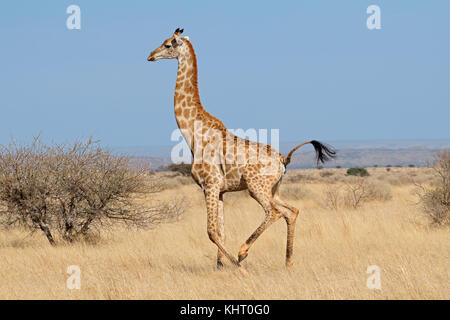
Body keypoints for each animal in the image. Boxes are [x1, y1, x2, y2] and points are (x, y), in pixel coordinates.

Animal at [148, 28, 334, 268]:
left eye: (168, 44)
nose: (150, 55)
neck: (194, 134)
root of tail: (283, 160)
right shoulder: (219, 190)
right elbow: (221, 231)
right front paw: (220, 267)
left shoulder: (210, 185)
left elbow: (211, 232)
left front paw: (237, 267)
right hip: (274, 189)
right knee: (291, 211)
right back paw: (288, 263)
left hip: (257, 188)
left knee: (274, 212)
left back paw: (243, 252)